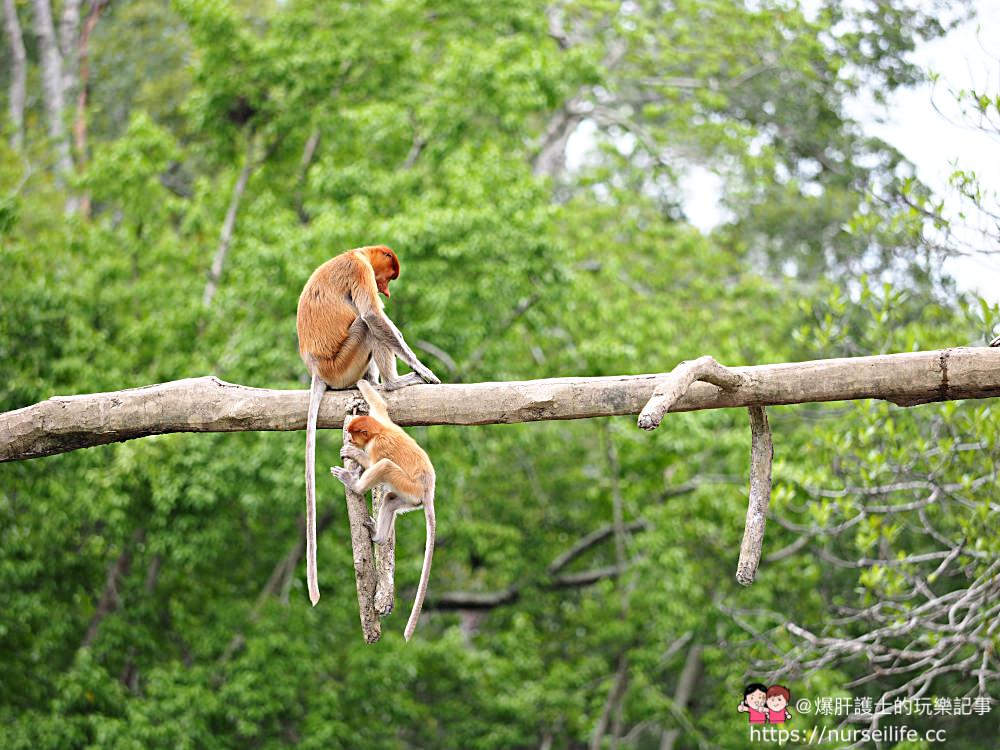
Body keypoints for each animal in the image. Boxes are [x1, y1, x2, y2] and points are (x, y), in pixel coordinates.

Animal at [294, 244, 440, 608]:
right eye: (387, 275)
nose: (386, 289)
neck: (355, 251)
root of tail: (318, 371)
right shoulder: (359, 270)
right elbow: (374, 316)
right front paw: (422, 368)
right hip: (345, 362)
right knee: (365, 323)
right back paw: (393, 383)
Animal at [332, 384, 438, 644]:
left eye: (354, 434)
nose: (350, 438)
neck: (379, 431)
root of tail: (428, 491)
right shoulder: (382, 419)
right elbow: (380, 405)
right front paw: (362, 383)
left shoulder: (377, 446)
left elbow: (373, 463)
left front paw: (353, 453)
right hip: (410, 497)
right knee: (390, 499)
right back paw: (378, 537)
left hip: (409, 487)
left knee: (385, 466)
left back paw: (354, 484)